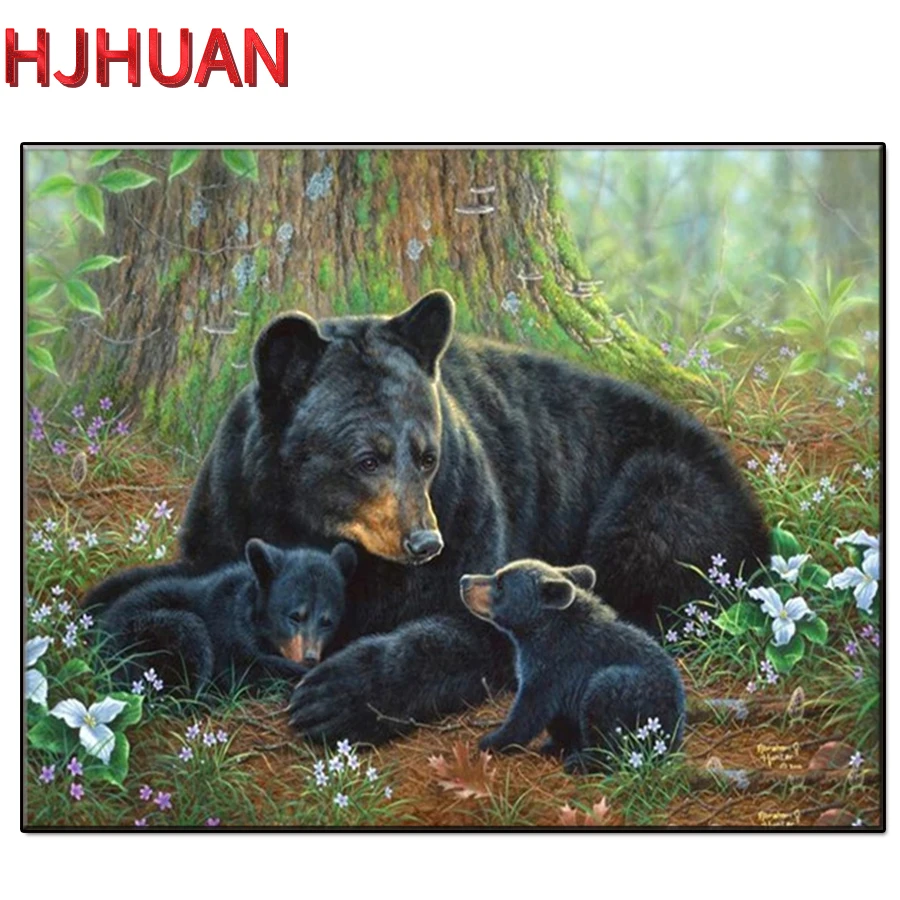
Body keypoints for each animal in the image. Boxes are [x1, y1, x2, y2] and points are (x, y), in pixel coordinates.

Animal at [98, 540, 356, 696]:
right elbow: (245, 670)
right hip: (147, 632)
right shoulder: (228, 632)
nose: (310, 657)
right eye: (294, 616)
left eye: (327, 622)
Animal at [460, 558, 686, 774]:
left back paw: (584, 762)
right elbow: (559, 716)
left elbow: (530, 710)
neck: (540, 632)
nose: (464, 580)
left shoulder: (553, 665)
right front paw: (556, 744)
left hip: (630, 691)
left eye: (500, 583)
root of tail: (673, 733)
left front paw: (493, 741)